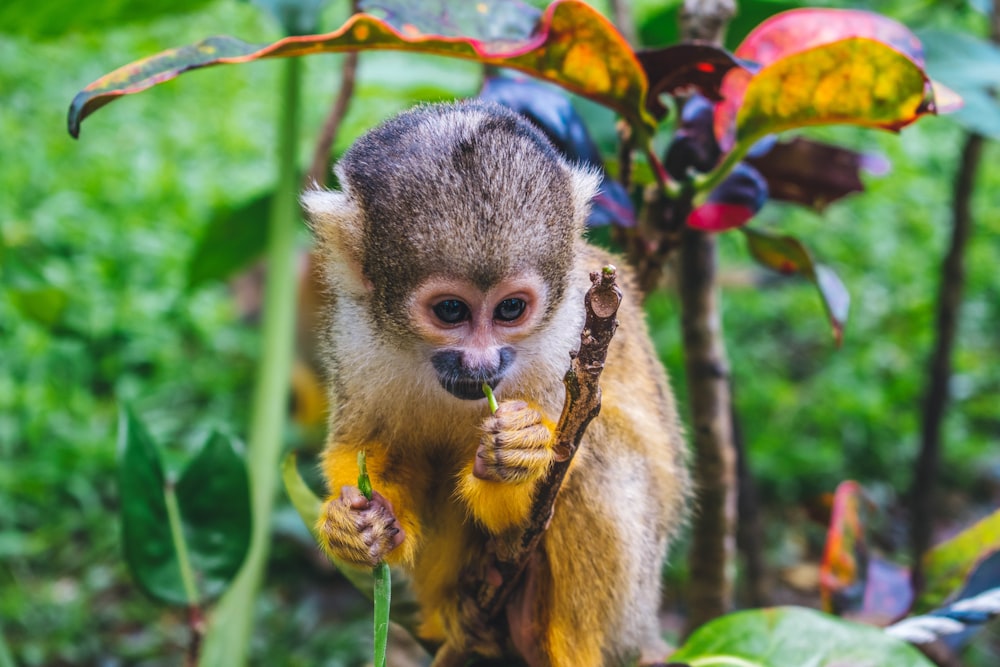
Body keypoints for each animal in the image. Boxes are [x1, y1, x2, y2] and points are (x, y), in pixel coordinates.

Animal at [300, 100, 692, 667]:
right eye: (450, 311)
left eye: (510, 309)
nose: (481, 363)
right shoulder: (355, 331)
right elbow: (369, 446)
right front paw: (359, 528)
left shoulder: (574, 329)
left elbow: (564, 463)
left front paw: (517, 454)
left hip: (633, 606)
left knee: (605, 461)